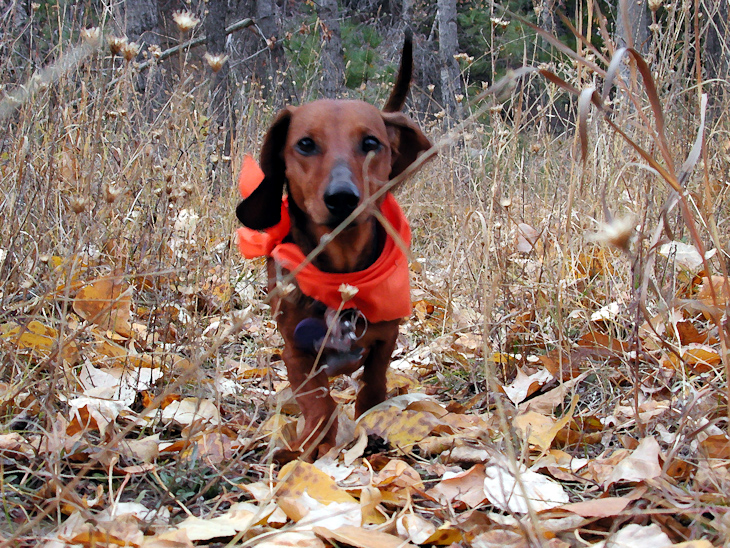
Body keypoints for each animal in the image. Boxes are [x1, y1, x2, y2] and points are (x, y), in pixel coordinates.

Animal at [236, 36, 430, 460]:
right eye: (305, 144)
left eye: (371, 143)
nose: (342, 198)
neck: (343, 275)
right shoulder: (295, 352)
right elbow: (318, 402)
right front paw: (311, 447)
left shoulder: (385, 338)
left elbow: (373, 385)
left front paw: (371, 427)